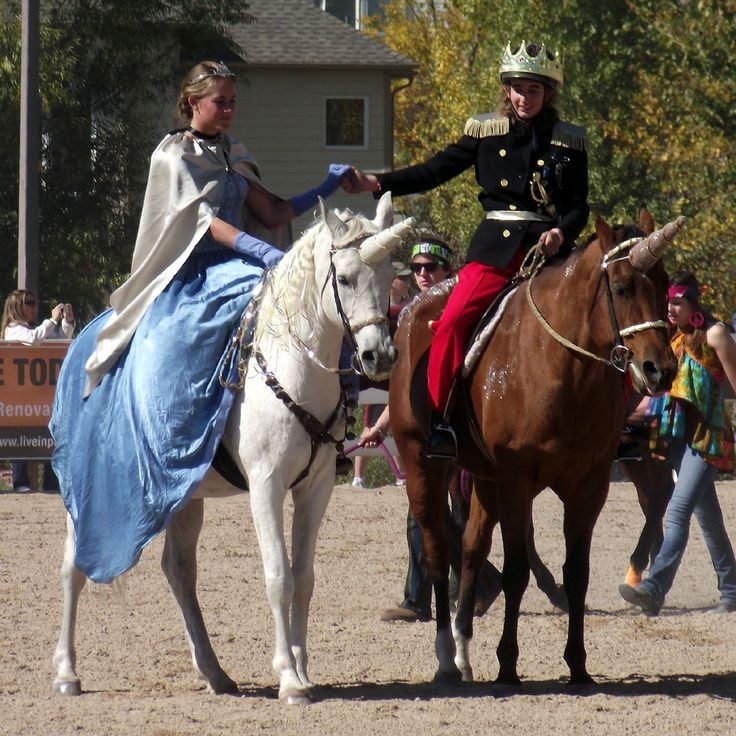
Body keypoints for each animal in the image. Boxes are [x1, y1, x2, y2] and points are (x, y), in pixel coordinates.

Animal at [54, 193, 412, 704]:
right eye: (343, 278)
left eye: (387, 281)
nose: (378, 356)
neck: (293, 365)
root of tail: (84, 338)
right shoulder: (266, 485)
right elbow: (278, 576)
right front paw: (288, 679)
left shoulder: (316, 487)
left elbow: (304, 579)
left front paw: (303, 670)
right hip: (81, 496)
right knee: (73, 568)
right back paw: (67, 672)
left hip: (182, 496)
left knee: (179, 571)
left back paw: (215, 672)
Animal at [388, 210, 680, 688]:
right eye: (621, 287)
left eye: (664, 281)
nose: (661, 369)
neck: (565, 369)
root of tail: (412, 313)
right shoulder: (517, 480)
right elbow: (516, 571)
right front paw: (508, 663)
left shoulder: (588, 485)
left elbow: (576, 573)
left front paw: (577, 663)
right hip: (423, 466)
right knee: (436, 549)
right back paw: (447, 657)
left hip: (483, 478)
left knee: (471, 546)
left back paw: (464, 651)